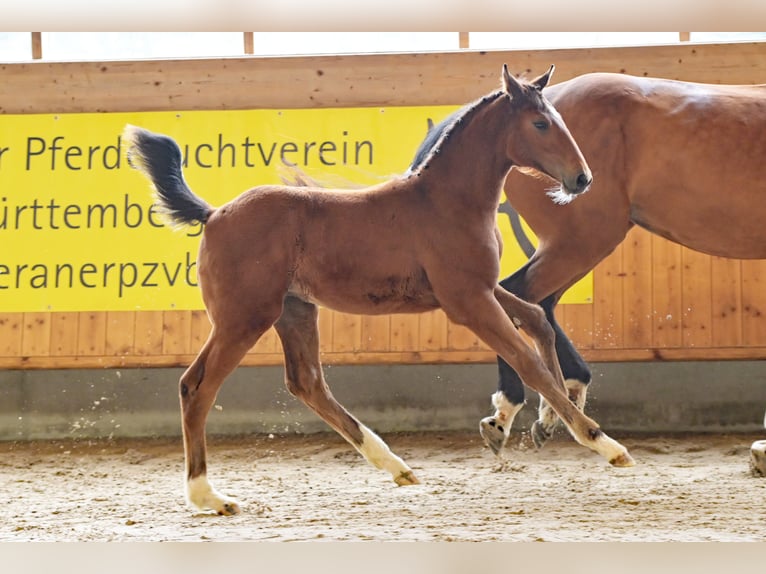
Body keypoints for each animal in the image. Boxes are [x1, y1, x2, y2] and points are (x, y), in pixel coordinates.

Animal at [121, 65, 636, 520]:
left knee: (307, 382)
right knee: (197, 386)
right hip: (243, 318)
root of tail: (214, 215)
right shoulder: (467, 302)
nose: (582, 178)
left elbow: (535, 320)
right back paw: (210, 497)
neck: (446, 201)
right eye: (540, 122)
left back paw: (396, 466)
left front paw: (546, 422)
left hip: (295, 311)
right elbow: (527, 359)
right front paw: (602, 442)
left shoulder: (480, 288)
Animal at [414, 72, 766, 456]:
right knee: (518, 295)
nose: (581, 177)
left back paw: (557, 404)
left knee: (536, 304)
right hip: (582, 241)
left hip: (581, 245)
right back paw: (509, 411)